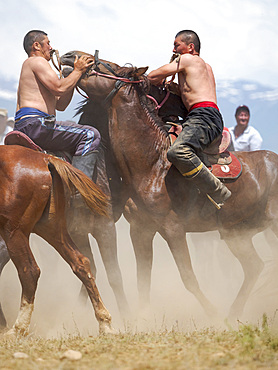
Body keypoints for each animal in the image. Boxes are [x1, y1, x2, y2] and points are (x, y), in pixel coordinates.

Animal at [0, 145, 114, 336]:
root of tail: (46, 159)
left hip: (14, 231)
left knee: (29, 271)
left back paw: (17, 329)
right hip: (52, 228)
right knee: (81, 262)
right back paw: (104, 323)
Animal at [60, 50, 278, 320]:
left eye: (107, 65)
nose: (70, 56)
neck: (153, 162)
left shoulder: (173, 227)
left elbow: (188, 277)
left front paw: (212, 314)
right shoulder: (141, 229)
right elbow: (143, 279)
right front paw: (142, 317)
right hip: (236, 233)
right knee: (254, 267)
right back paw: (233, 314)